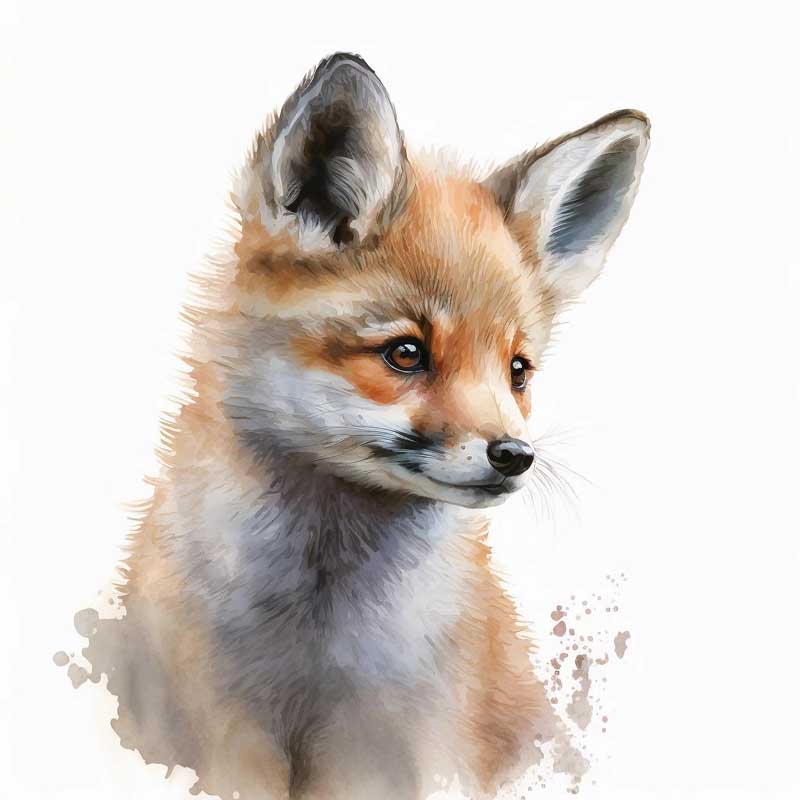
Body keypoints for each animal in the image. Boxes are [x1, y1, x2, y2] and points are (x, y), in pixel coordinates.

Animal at [84, 53, 649, 800]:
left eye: (518, 371)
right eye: (405, 353)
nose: (514, 455)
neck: (314, 651)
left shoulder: (402, 750)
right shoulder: (214, 735)